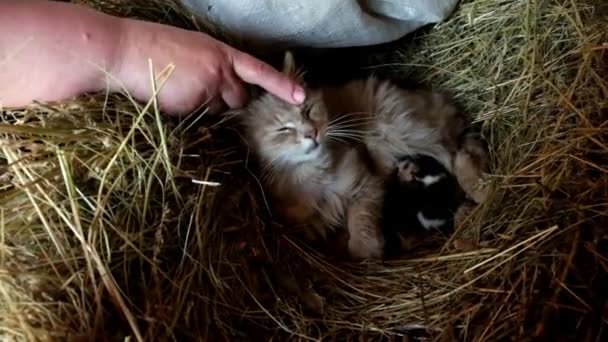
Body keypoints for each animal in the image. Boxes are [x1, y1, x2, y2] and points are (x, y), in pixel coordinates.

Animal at [233, 52, 490, 260]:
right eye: (283, 129)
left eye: (307, 110)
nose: (312, 133)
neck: (312, 174)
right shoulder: (308, 226)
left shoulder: (366, 184)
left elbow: (361, 221)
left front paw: (366, 251)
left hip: (396, 131)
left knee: (458, 154)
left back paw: (478, 192)